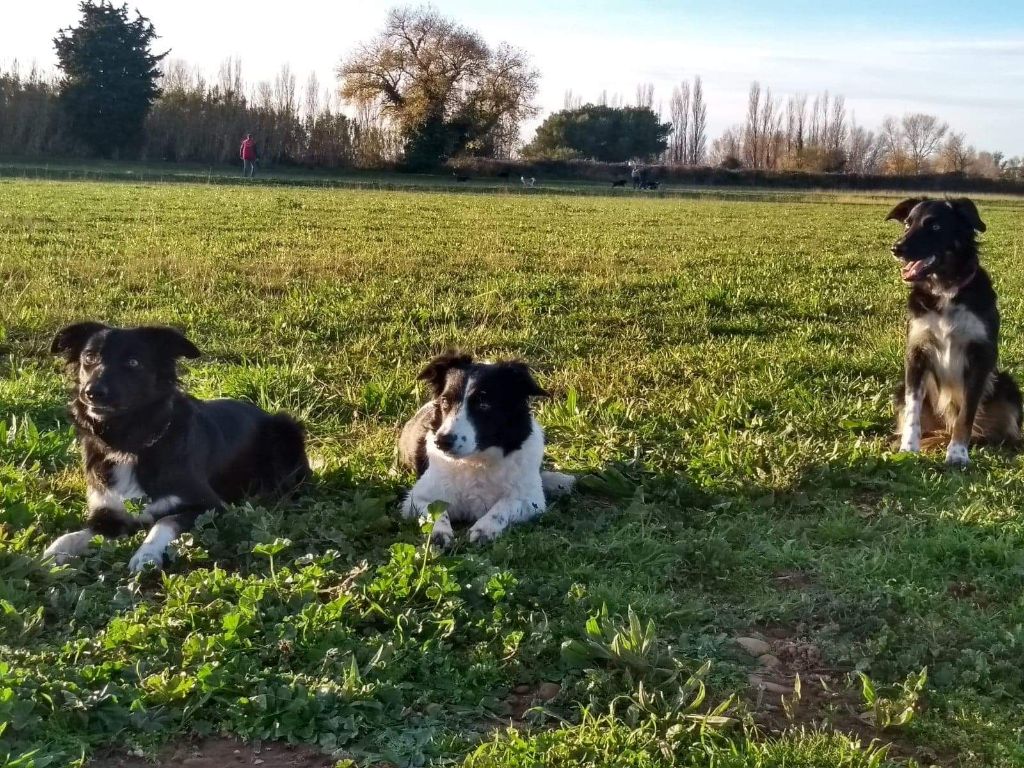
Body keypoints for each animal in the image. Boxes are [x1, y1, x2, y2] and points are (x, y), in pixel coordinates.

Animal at [40, 323, 311, 573]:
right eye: (89, 357)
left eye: (133, 362)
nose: (92, 392)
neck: (130, 444)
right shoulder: (108, 513)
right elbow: (74, 535)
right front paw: (52, 554)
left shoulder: (210, 507)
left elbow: (165, 522)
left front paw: (146, 555)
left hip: (286, 428)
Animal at [397, 354, 577, 548]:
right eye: (445, 402)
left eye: (483, 404)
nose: (442, 441)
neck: (477, 461)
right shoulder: (416, 498)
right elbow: (437, 511)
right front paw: (439, 533)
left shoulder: (532, 501)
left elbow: (503, 506)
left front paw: (484, 529)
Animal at [884, 195, 1019, 466]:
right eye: (907, 224)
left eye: (935, 226)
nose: (896, 248)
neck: (945, 289)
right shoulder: (916, 354)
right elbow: (913, 410)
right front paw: (908, 448)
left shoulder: (980, 357)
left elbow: (966, 413)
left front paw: (957, 453)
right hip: (900, 389)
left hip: (1007, 385)